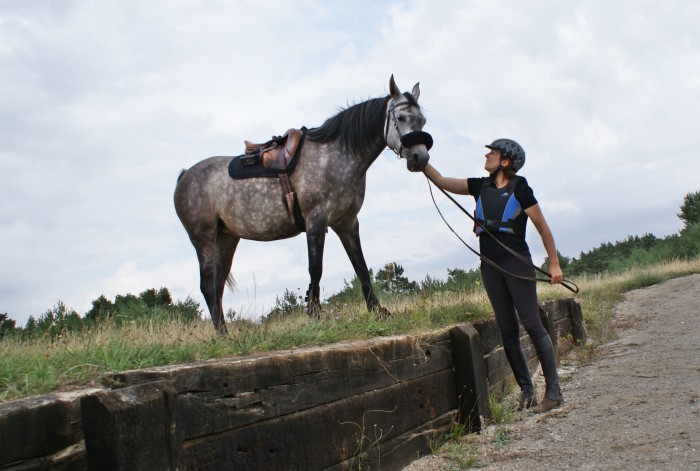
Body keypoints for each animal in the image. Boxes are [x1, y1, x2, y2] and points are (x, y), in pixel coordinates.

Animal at [174, 75, 432, 334]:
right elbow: (315, 269)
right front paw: (316, 315)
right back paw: (223, 335)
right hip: (204, 239)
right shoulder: (316, 222)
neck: (335, 155)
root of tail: (185, 176)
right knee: (208, 287)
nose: (420, 158)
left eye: (422, 120)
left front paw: (378, 311)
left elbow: (360, 266)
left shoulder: (347, 222)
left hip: (226, 239)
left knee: (217, 286)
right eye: (401, 118)